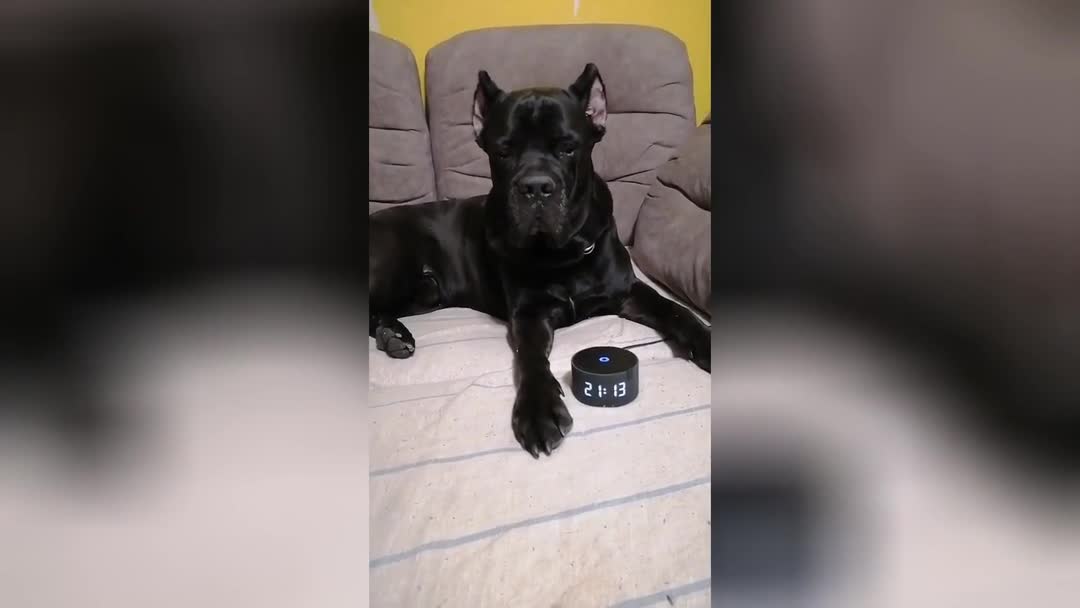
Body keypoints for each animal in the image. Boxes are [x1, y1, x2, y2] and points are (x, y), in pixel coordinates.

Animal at [370, 64, 711, 457]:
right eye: (503, 151)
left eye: (567, 148)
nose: (535, 187)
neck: (562, 252)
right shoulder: (529, 314)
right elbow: (530, 358)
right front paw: (539, 410)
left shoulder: (628, 291)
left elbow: (676, 310)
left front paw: (705, 340)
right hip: (394, 267)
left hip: (423, 291)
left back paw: (393, 334)